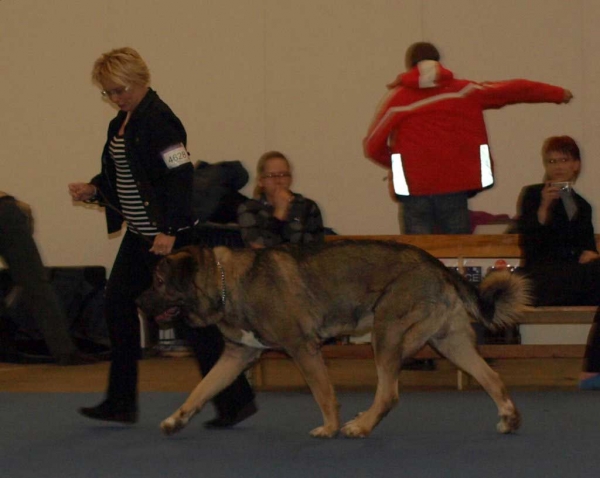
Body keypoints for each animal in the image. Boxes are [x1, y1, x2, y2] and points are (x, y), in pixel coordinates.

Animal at [137, 241, 528, 438]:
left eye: (159, 281)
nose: (137, 301)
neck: (226, 282)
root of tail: (439, 265)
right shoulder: (237, 356)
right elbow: (200, 390)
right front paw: (176, 420)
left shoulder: (303, 348)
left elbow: (324, 393)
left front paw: (330, 427)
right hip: (449, 342)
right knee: (492, 378)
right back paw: (509, 419)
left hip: (387, 335)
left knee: (389, 393)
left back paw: (362, 426)